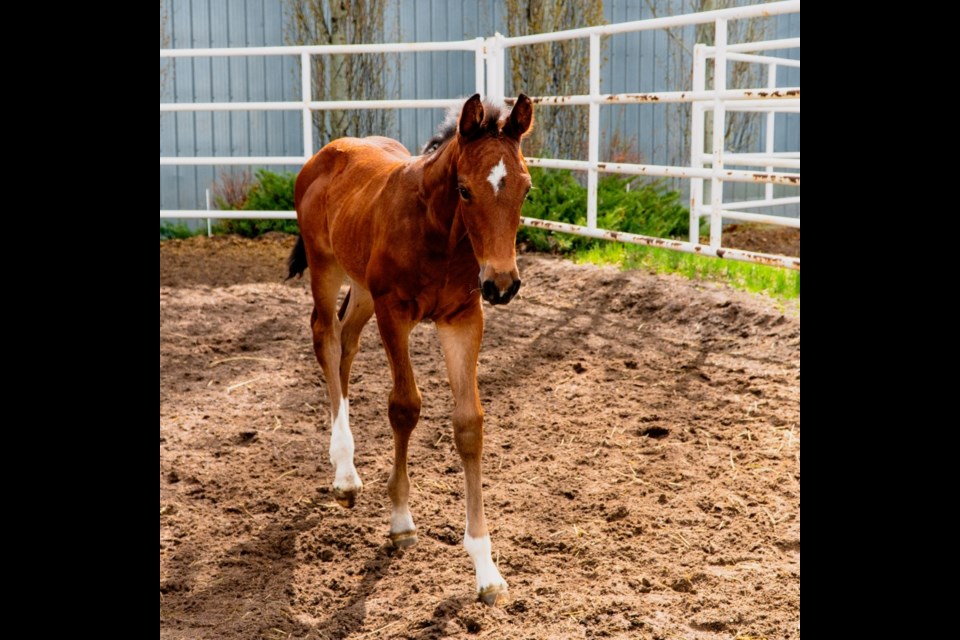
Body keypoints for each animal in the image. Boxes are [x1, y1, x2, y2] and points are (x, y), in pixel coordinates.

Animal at [288, 92, 536, 604]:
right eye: (464, 190)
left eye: (525, 189)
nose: (502, 284)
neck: (439, 233)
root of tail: (329, 152)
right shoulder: (395, 312)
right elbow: (405, 407)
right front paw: (401, 521)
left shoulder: (463, 318)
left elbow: (469, 424)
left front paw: (486, 569)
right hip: (327, 267)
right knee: (325, 336)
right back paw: (344, 475)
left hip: (362, 287)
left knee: (346, 341)